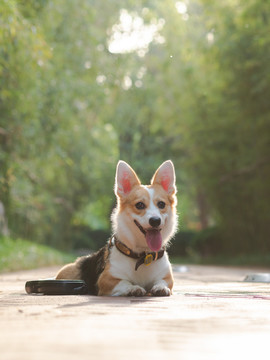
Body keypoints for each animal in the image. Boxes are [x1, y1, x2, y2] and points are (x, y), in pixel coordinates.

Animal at [55, 160, 177, 296]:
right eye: (139, 205)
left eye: (161, 204)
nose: (155, 220)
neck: (142, 256)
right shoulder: (107, 279)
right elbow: (125, 282)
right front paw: (133, 288)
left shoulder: (167, 277)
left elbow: (162, 282)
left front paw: (160, 288)